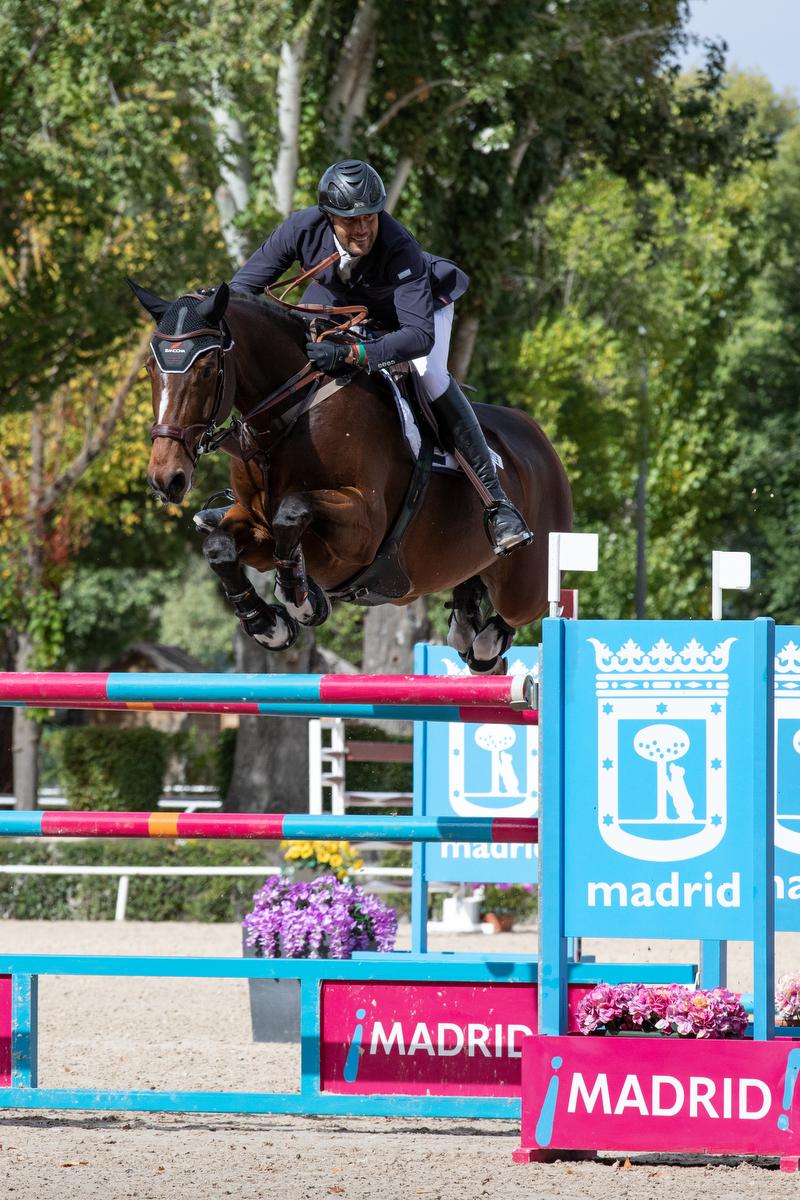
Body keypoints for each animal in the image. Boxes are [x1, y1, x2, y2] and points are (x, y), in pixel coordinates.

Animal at [130, 282, 568, 676]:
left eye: (205, 370)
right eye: (151, 369)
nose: (166, 478)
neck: (288, 416)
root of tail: (542, 443)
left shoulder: (362, 531)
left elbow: (293, 511)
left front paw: (300, 600)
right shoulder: (255, 524)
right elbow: (220, 547)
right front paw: (269, 624)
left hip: (525, 584)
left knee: (518, 615)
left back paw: (488, 622)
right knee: (470, 600)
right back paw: (466, 624)